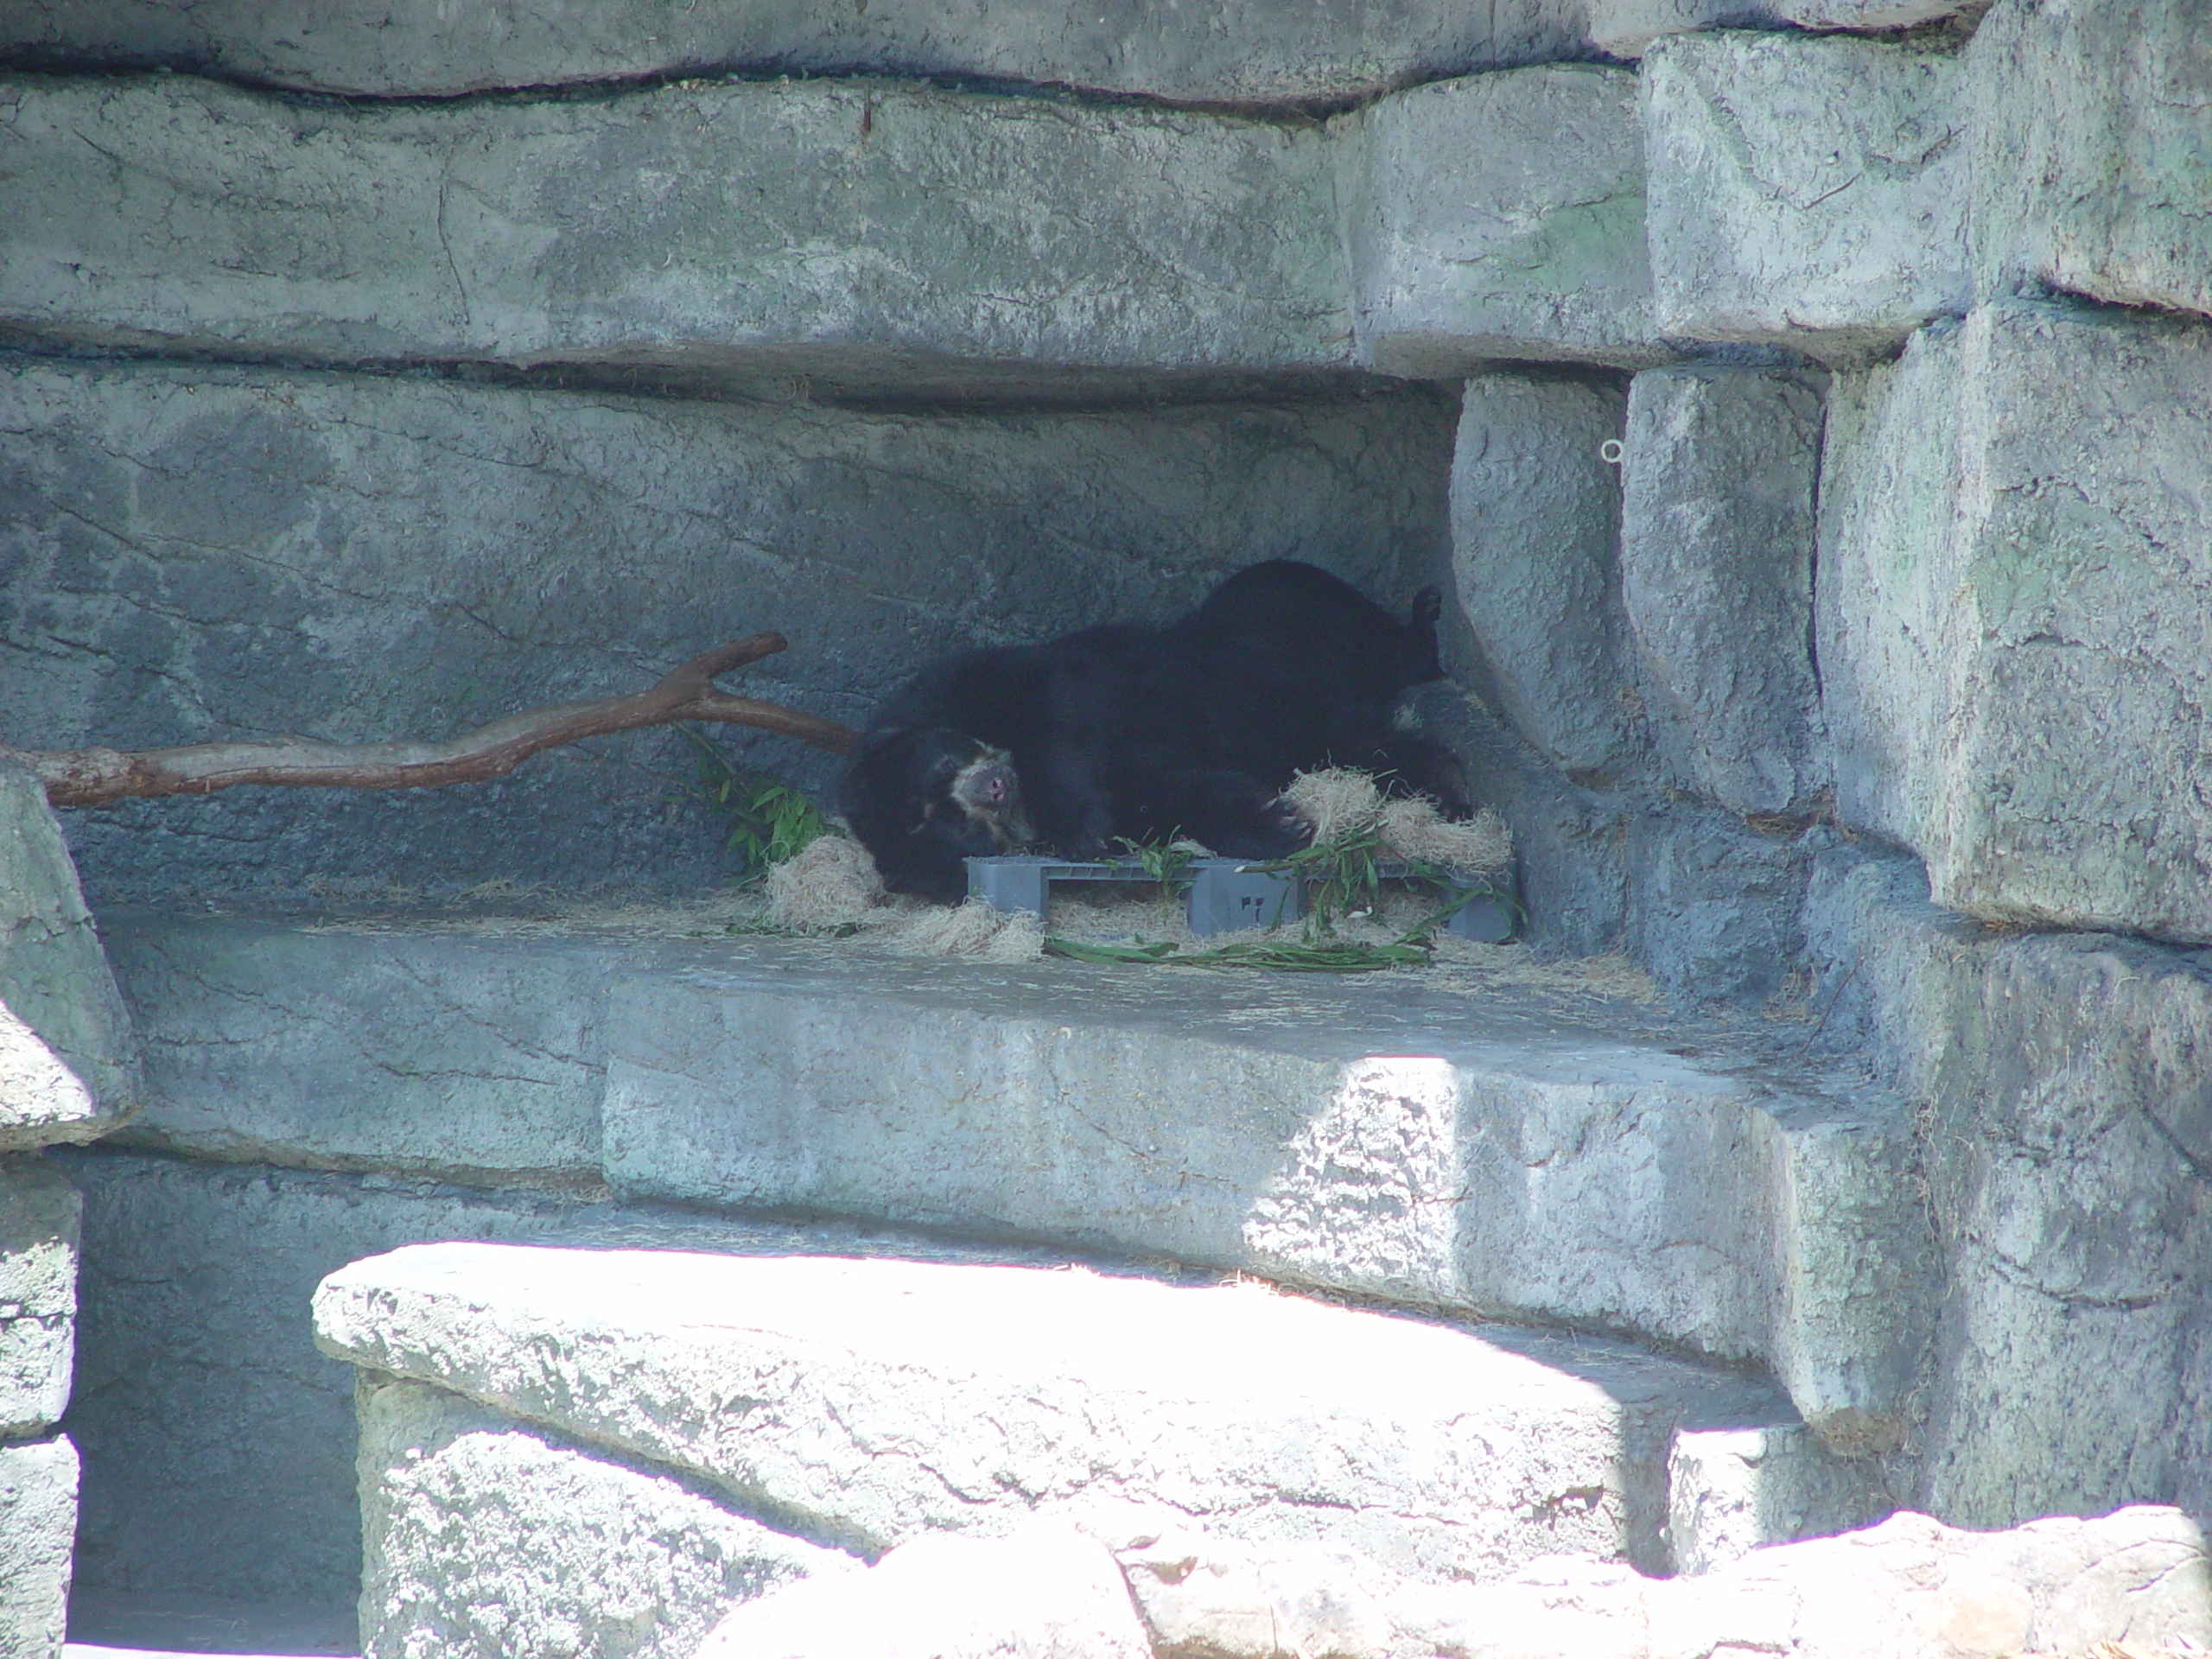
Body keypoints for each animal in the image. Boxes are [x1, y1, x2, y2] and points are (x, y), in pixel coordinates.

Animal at [838, 560, 1468, 902]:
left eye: (945, 763)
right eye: (948, 825)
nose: (993, 785)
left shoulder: (985, 677)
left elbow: (1052, 711)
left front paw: (1077, 826)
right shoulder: (1140, 795)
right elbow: (1172, 795)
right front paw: (1281, 822)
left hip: (1289, 618)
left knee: (1368, 643)